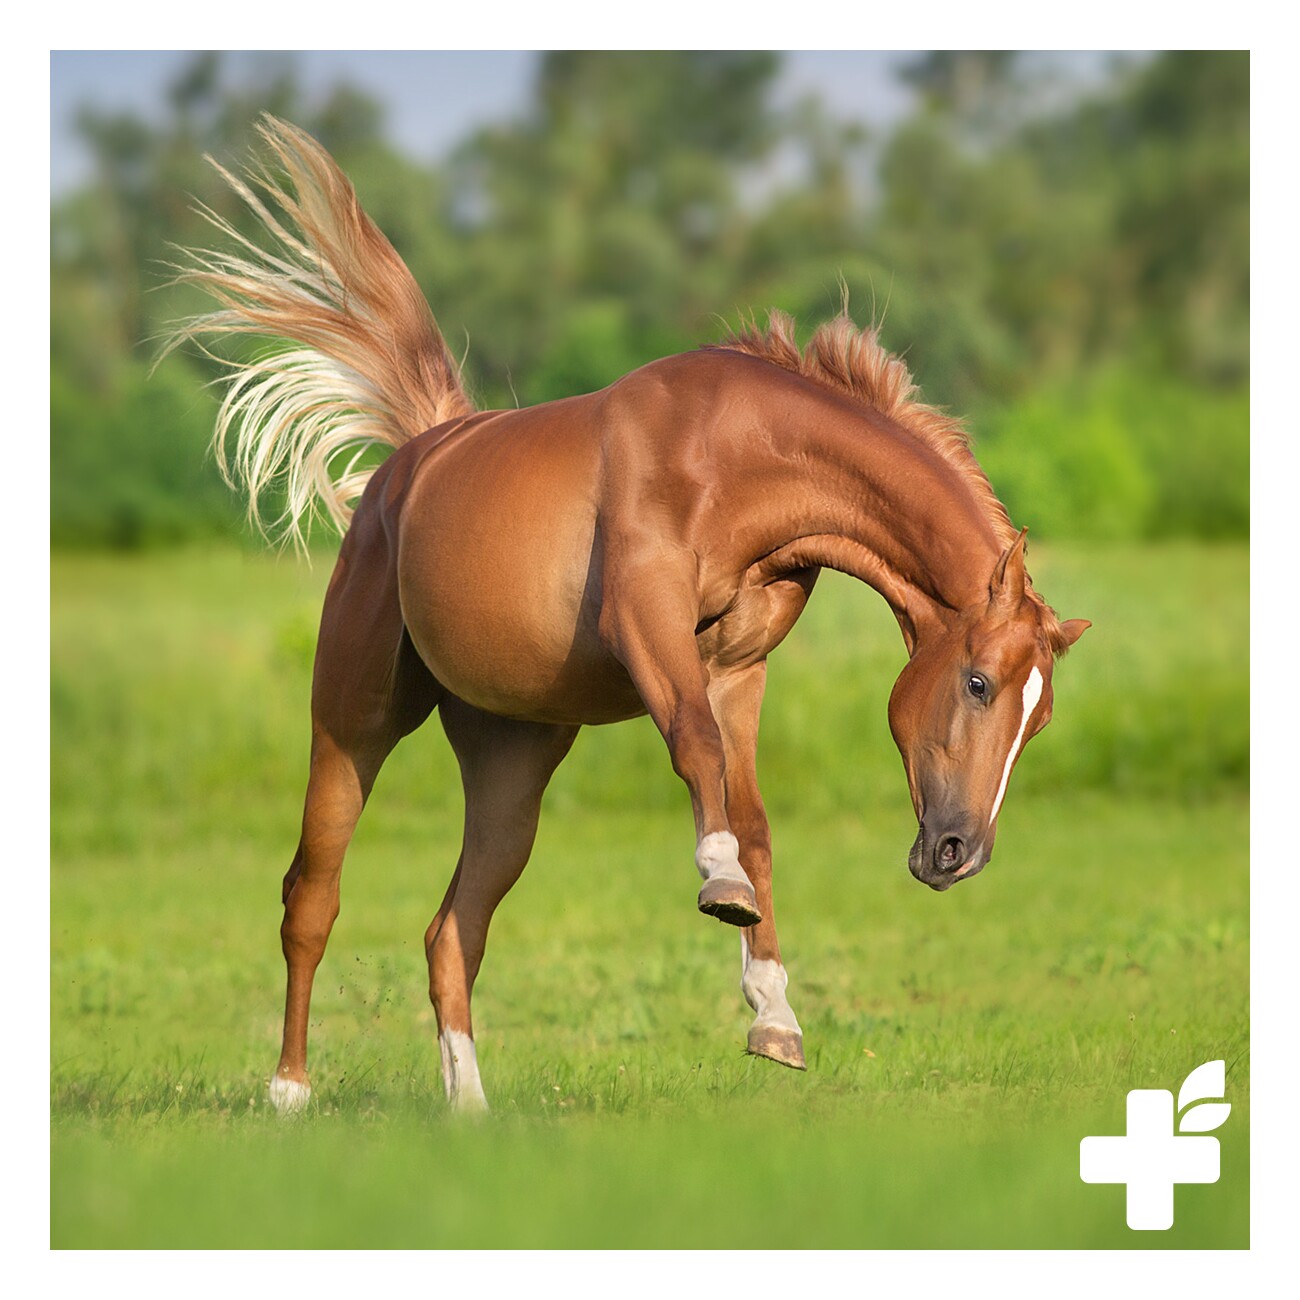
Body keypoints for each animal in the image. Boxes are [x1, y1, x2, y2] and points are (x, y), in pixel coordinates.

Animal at [169, 118, 1089, 1114]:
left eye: (1038, 719)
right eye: (978, 682)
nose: (960, 853)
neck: (734, 453)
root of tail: (413, 462)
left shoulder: (736, 666)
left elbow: (752, 816)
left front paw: (774, 1014)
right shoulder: (647, 626)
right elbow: (696, 751)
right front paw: (719, 884)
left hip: (511, 762)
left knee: (453, 929)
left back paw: (469, 1108)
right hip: (353, 721)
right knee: (313, 898)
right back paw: (289, 1093)